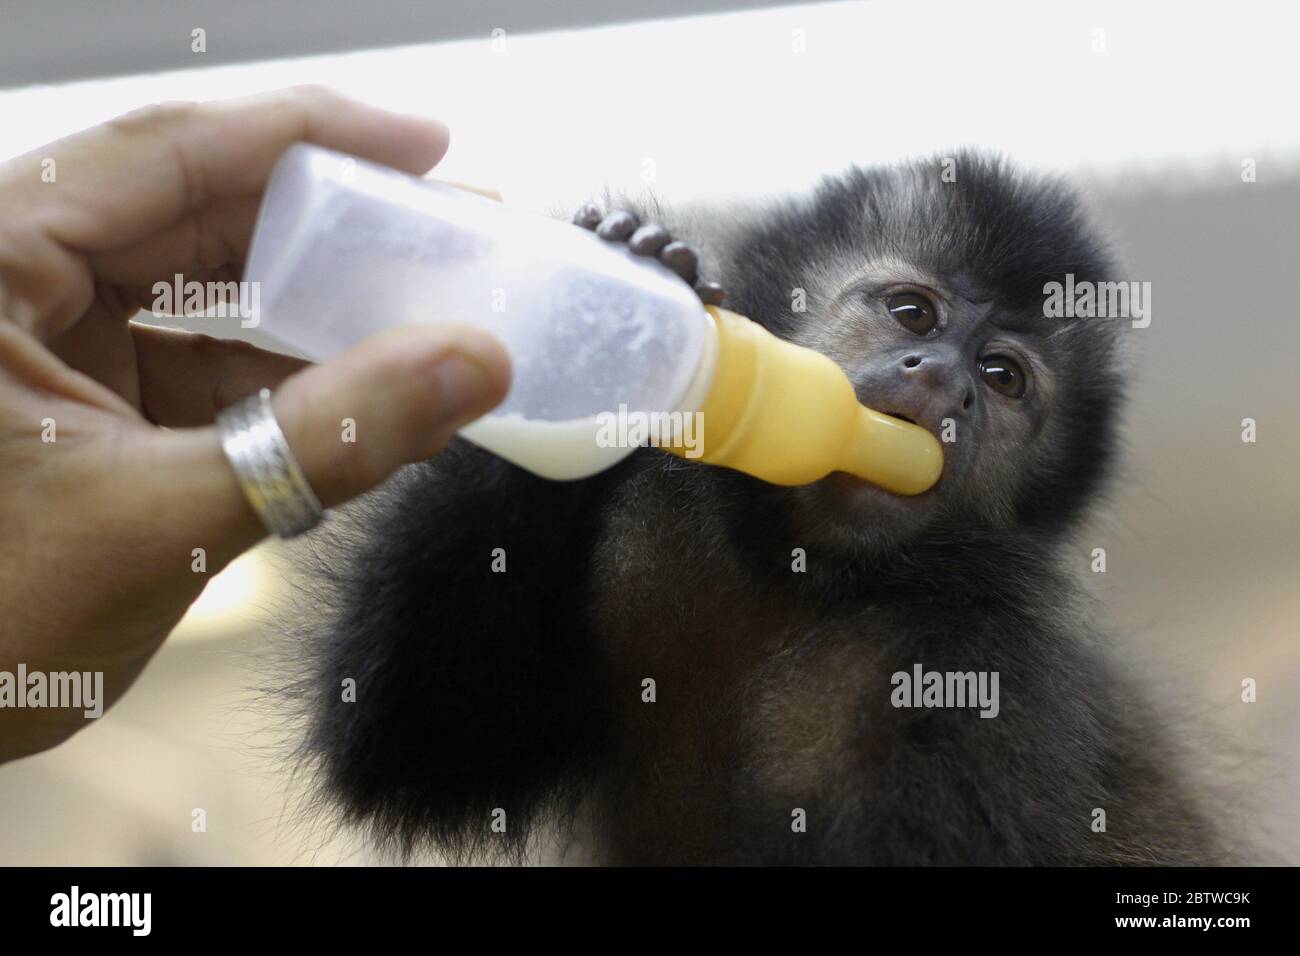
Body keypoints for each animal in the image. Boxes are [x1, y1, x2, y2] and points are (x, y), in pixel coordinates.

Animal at [287, 151, 1227, 868]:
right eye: (913, 313)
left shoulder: (986, 668)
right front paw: (623, 281)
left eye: (1001, 377)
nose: (945, 381)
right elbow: (423, 741)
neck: (797, 580)